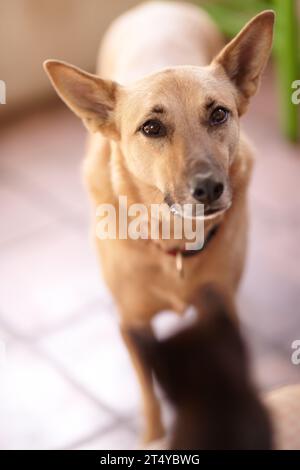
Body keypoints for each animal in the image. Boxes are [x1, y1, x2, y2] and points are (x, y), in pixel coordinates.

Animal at [44, 0, 274, 442]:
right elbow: (148, 391)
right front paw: (152, 434)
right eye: (151, 128)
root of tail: (157, 6)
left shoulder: (218, 308)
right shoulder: (133, 324)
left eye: (219, 114)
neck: (175, 243)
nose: (209, 188)